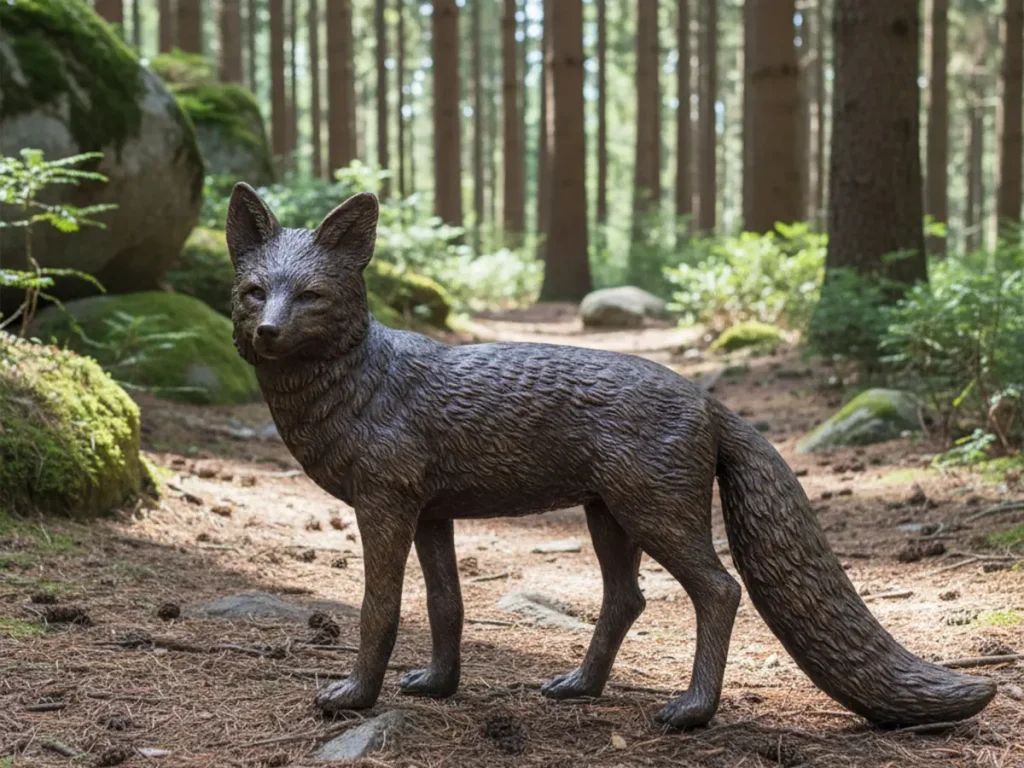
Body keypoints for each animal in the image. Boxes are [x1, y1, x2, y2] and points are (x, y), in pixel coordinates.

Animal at [224, 182, 996, 729]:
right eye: (255, 292)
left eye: (312, 296)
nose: (266, 332)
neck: (360, 381)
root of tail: (707, 399)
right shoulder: (431, 512)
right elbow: (447, 605)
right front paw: (439, 687)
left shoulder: (385, 505)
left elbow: (379, 607)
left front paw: (355, 696)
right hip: (609, 517)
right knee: (627, 600)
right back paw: (581, 686)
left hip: (653, 515)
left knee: (718, 590)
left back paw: (693, 711)